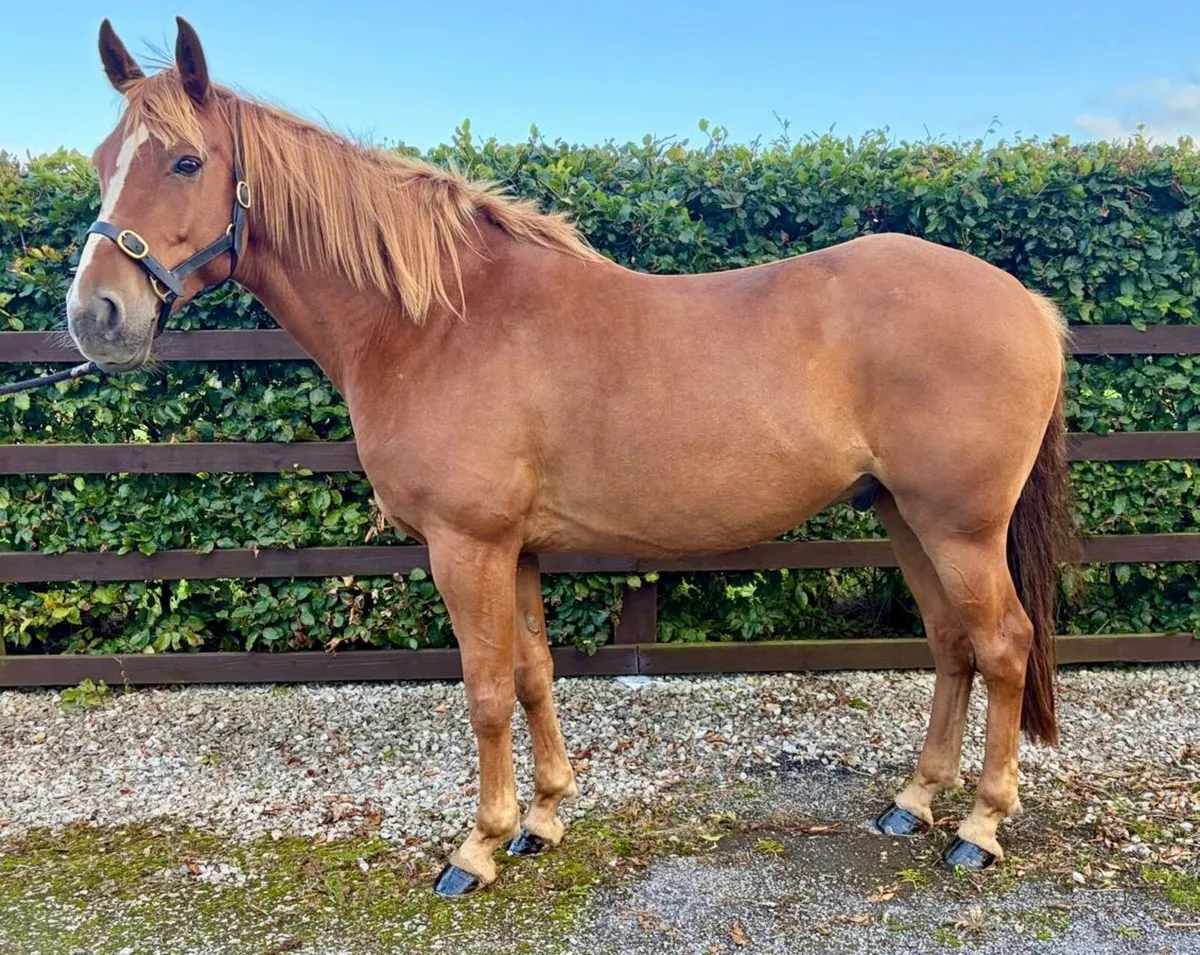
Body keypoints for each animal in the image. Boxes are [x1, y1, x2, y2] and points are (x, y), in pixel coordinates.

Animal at [66, 17, 1077, 897]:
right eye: (102, 162)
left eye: (187, 161)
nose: (96, 316)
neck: (436, 321)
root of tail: (1027, 302)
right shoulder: (514, 550)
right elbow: (532, 673)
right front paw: (542, 818)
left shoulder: (465, 546)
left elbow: (483, 690)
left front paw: (476, 847)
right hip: (904, 514)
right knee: (950, 644)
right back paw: (914, 801)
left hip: (959, 526)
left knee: (1003, 644)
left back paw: (981, 827)